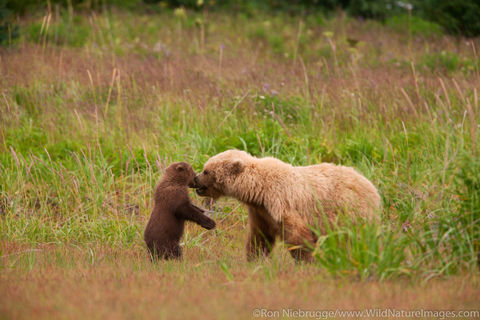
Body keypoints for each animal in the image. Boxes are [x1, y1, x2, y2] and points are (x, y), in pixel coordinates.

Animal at [193, 150, 380, 262]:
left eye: (206, 170)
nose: (195, 178)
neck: (258, 190)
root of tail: (372, 188)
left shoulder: (281, 203)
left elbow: (298, 235)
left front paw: (305, 261)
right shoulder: (261, 212)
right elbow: (259, 236)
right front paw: (254, 258)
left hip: (349, 212)